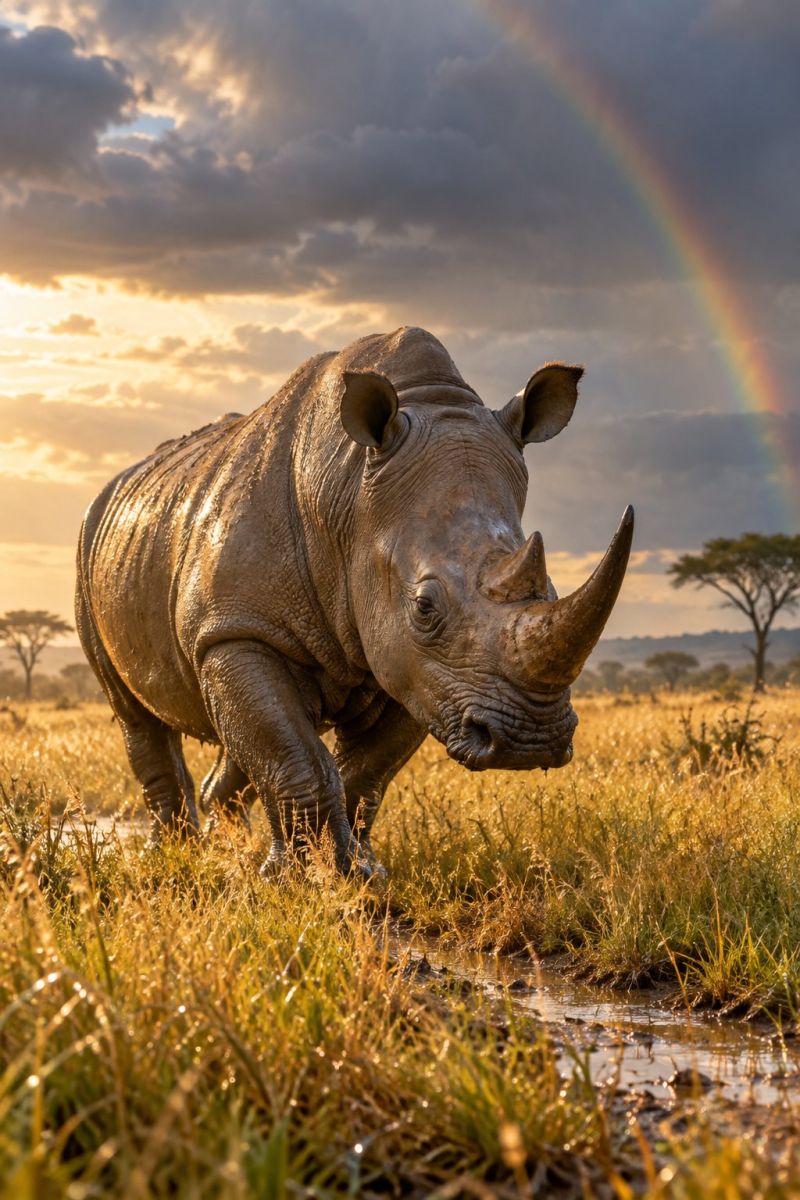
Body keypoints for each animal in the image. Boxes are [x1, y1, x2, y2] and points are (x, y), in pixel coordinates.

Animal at [77, 327, 633, 877]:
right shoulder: (239, 627)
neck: (349, 497)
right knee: (137, 717)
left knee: (237, 731)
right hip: (91, 544)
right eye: (424, 607)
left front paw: (358, 873)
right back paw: (173, 854)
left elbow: (363, 768)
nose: (528, 740)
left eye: (552, 591)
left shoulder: (416, 668)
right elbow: (295, 756)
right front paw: (304, 880)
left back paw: (229, 846)